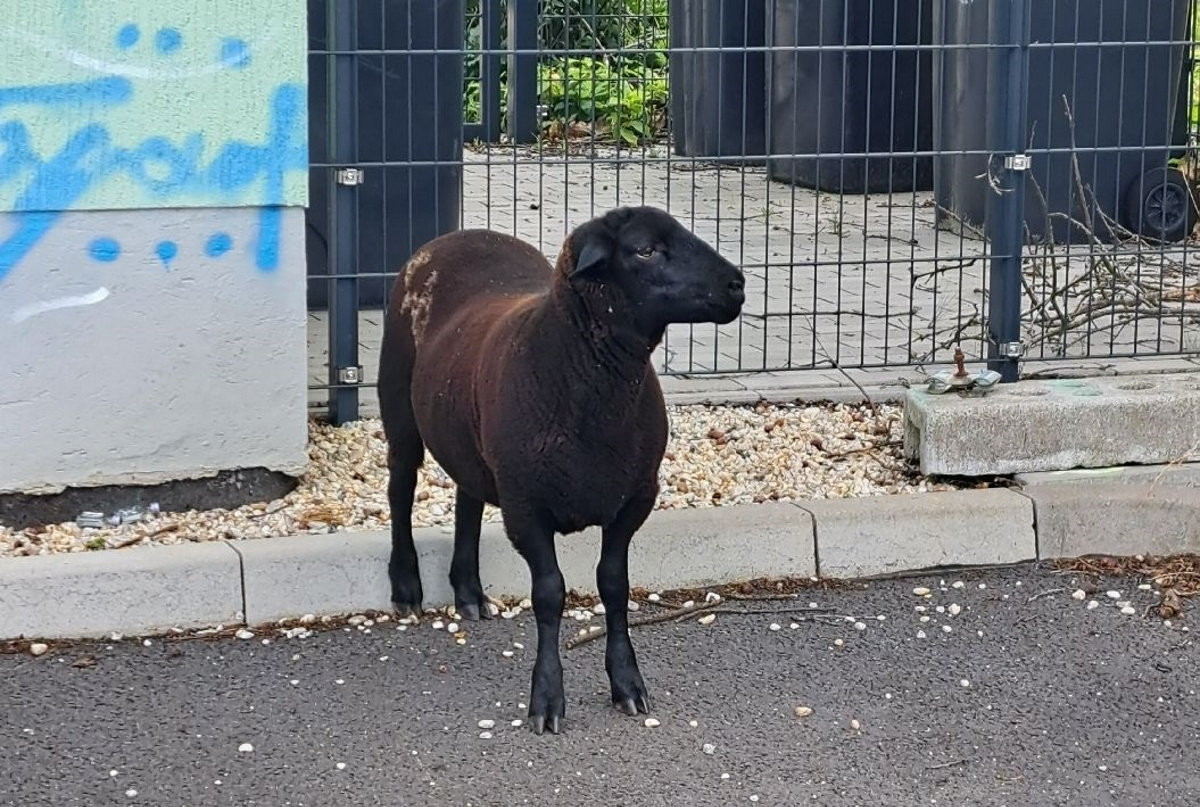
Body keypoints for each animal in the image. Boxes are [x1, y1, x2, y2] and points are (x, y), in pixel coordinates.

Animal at [379, 205, 744, 734]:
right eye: (645, 249)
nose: (737, 284)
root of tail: (460, 234)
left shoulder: (634, 500)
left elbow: (614, 585)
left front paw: (627, 684)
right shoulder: (526, 509)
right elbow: (549, 594)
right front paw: (547, 699)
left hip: (470, 435)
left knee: (467, 497)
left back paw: (468, 591)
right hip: (398, 402)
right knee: (400, 485)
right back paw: (406, 584)